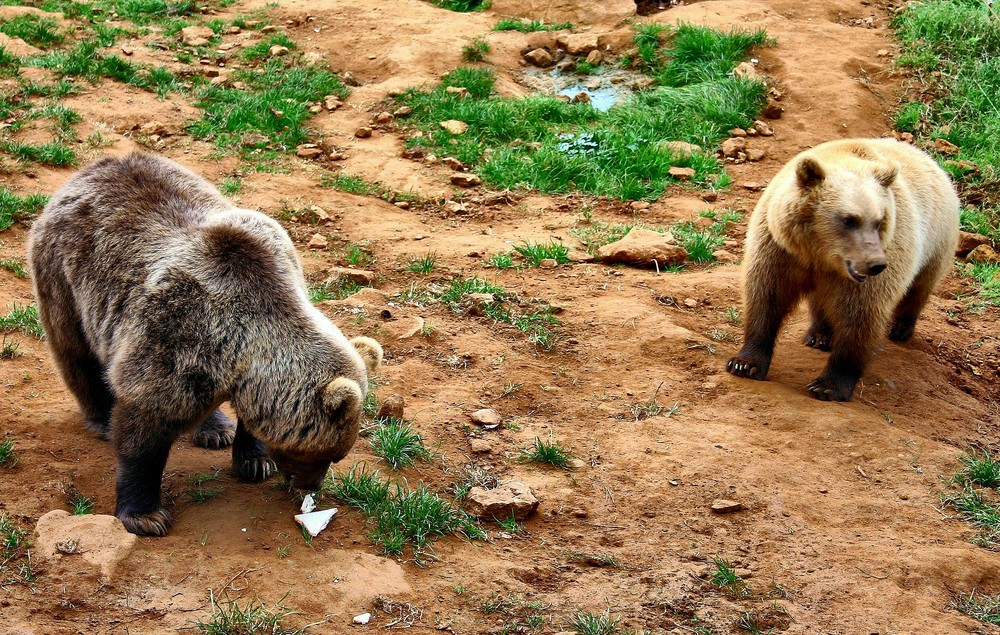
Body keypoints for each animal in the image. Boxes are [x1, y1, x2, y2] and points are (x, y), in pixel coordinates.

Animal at [728, 138, 960, 402]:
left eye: (879, 221)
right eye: (849, 220)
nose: (876, 264)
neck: (819, 254)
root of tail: (927, 158)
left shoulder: (873, 273)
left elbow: (860, 317)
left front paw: (828, 385)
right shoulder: (779, 250)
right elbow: (767, 297)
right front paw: (745, 363)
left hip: (936, 242)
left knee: (919, 287)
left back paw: (901, 328)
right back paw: (820, 335)